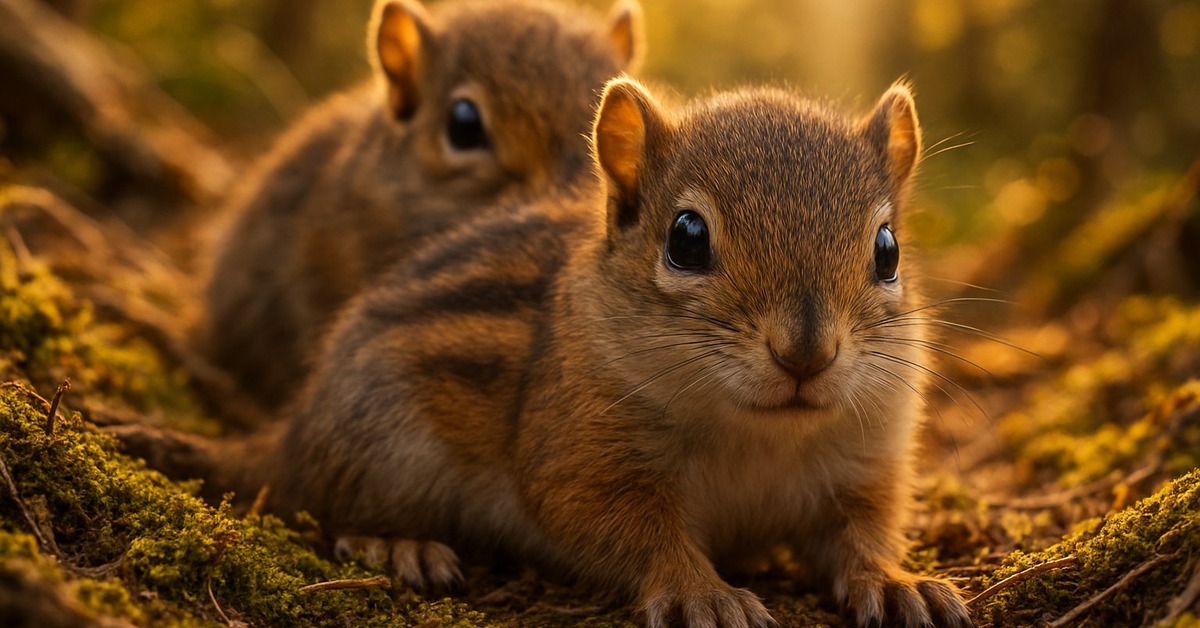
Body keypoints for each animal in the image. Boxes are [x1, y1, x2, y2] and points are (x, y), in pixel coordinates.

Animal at [207, 77, 976, 628]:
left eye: (888, 251)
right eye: (687, 238)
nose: (806, 354)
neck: (759, 435)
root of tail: (293, 429)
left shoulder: (863, 466)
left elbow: (861, 535)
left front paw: (897, 582)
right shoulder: (582, 458)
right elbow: (633, 533)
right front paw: (702, 591)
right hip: (384, 445)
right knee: (325, 500)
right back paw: (395, 543)